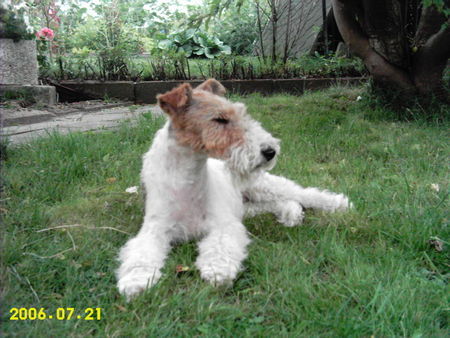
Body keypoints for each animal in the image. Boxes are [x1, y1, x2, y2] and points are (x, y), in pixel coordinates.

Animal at [117, 78, 352, 298]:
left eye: (242, 113)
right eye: (219, 119)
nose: (270, 151)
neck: (187, 181)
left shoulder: (223, 225)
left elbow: (220, 248)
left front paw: (217, 272)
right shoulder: (154, 229)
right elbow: (141, 255)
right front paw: (136, 282)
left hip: (264, 186)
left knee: (305, 194)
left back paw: (340, 204)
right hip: (250, 206)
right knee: (280, 203)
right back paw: (291, 215)